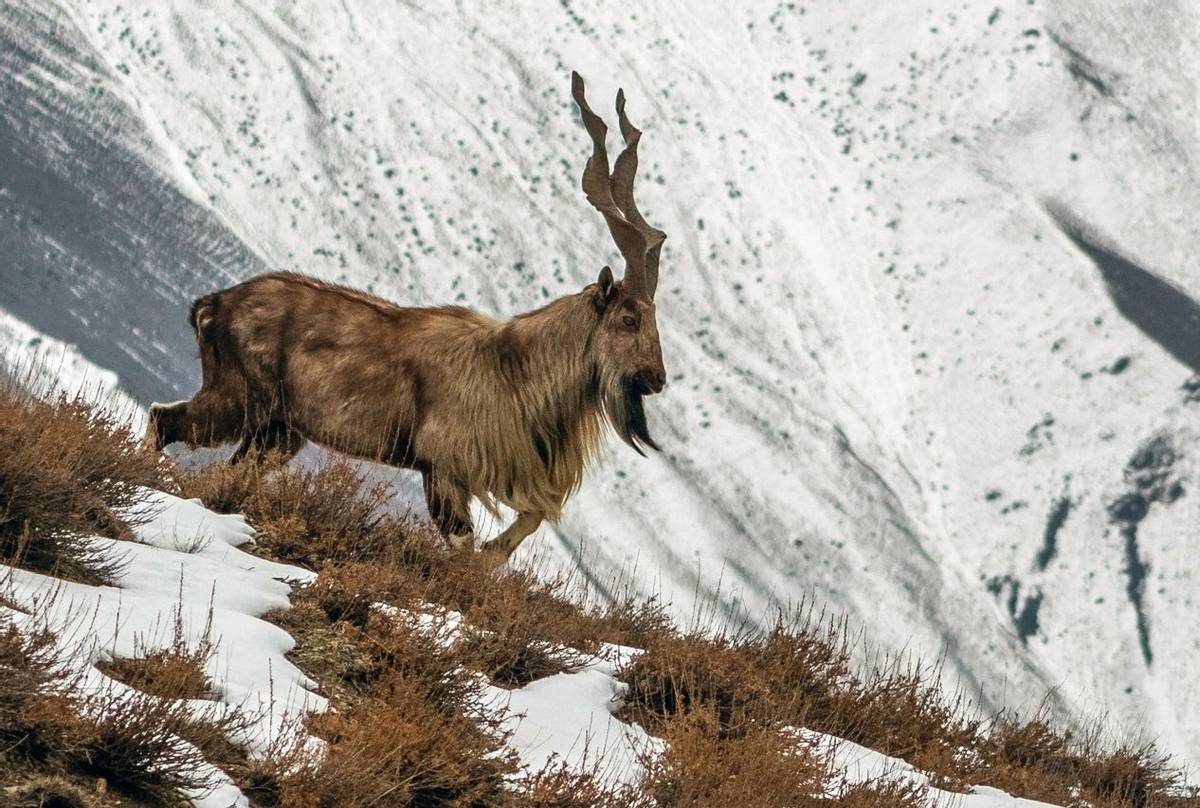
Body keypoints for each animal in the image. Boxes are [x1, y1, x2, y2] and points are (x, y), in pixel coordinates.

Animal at [146, 74, 672, 566]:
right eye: (628, 318)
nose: (656, 378)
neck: (515, 369)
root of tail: (212, 305)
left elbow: (526, 522)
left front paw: (491, 558)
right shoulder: (443, 468)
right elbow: (464, 543)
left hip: (279, 430)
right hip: (240, 401)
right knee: (165, 419)